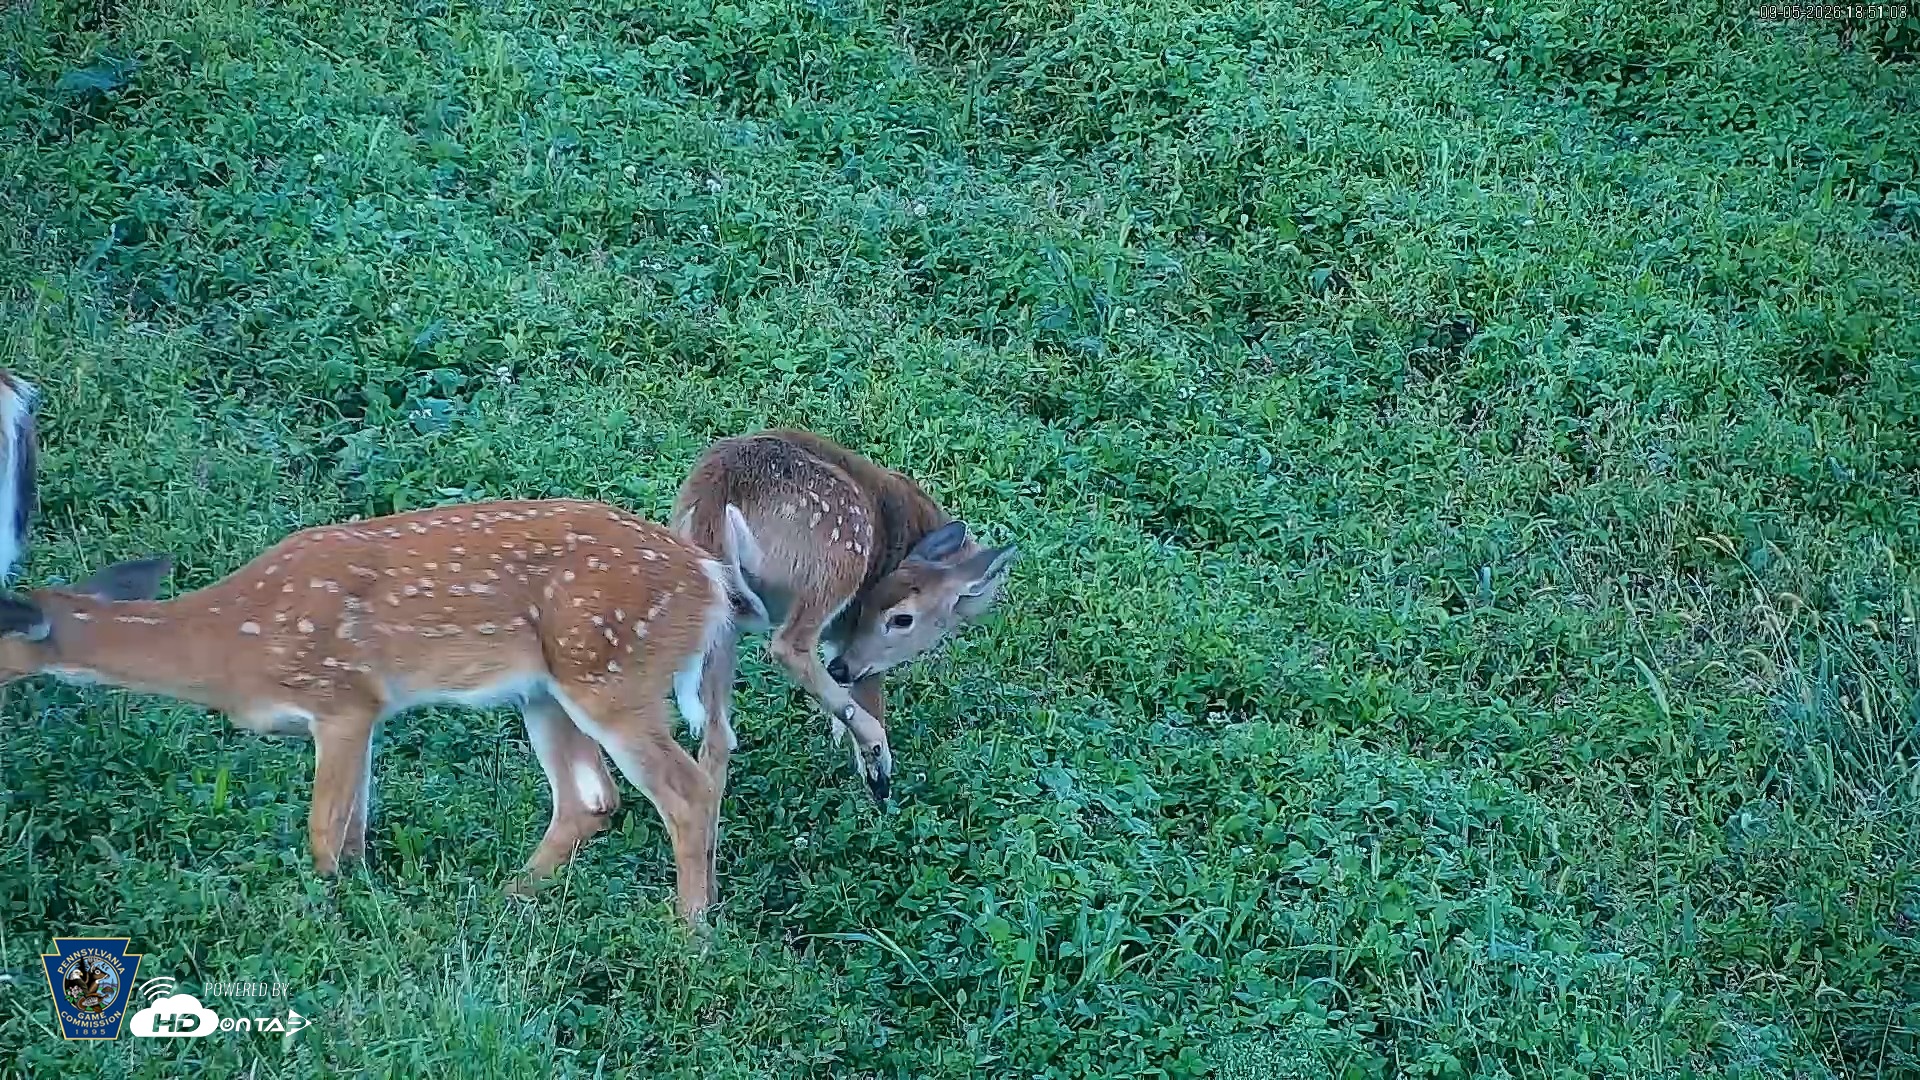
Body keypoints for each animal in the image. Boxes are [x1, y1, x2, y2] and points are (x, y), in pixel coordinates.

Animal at [0, 498, 764, 925]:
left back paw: (691, 932)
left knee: (685, 790)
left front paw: (332, 915)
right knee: (591, 798)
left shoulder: (342, 698)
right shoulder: (365, 714)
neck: (229, 642)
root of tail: (709, 577)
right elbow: (356, 827)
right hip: (545, 690)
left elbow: (322, 829)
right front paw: (365, 899)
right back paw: (504, 900)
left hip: (610, 673)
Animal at [665, 429, 1019, 806]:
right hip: (841, 549)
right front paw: (871, 770)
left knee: (715, 738)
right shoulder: (855, 638)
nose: (841, 669)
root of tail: (715, 499)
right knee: (789, 645)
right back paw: (878, 756)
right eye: (901, 619)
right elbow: (869, 689)